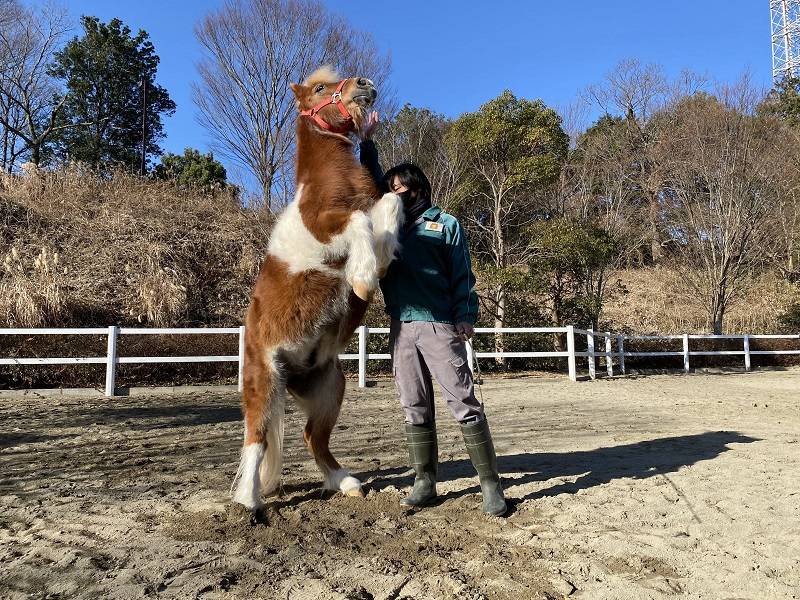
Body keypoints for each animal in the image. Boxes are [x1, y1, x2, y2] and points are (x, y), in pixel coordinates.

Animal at [231, 66, 403, 512]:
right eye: (320, 88)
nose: (364, 86)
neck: (330, 184)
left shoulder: (375, 204)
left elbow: (389, 205)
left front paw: (379, 261)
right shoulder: (326, 229)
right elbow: (359, 221)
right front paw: (362, 278)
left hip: (330, 389)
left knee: (312, 436)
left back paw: (345, 483)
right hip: (264, 385)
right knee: (256, 438)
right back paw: (249, 503)